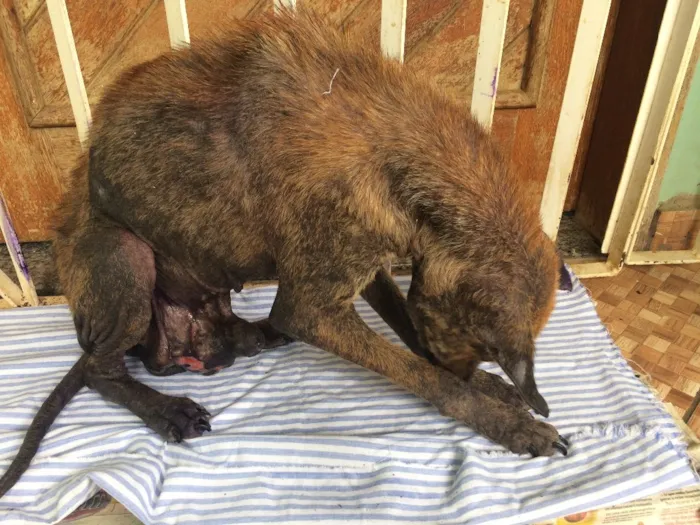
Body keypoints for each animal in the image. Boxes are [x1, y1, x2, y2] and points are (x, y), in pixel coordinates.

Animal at [0, 7, 572, 500]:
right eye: (477, 346)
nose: (473, 371)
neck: (399, 156)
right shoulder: (312, 307)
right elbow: (423, 374)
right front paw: (510, 423)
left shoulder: (363, 268)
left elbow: (406, 328)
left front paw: (490, 389)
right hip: (126, 261)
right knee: (101, 371)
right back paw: (169, 411)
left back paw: (257, 336)